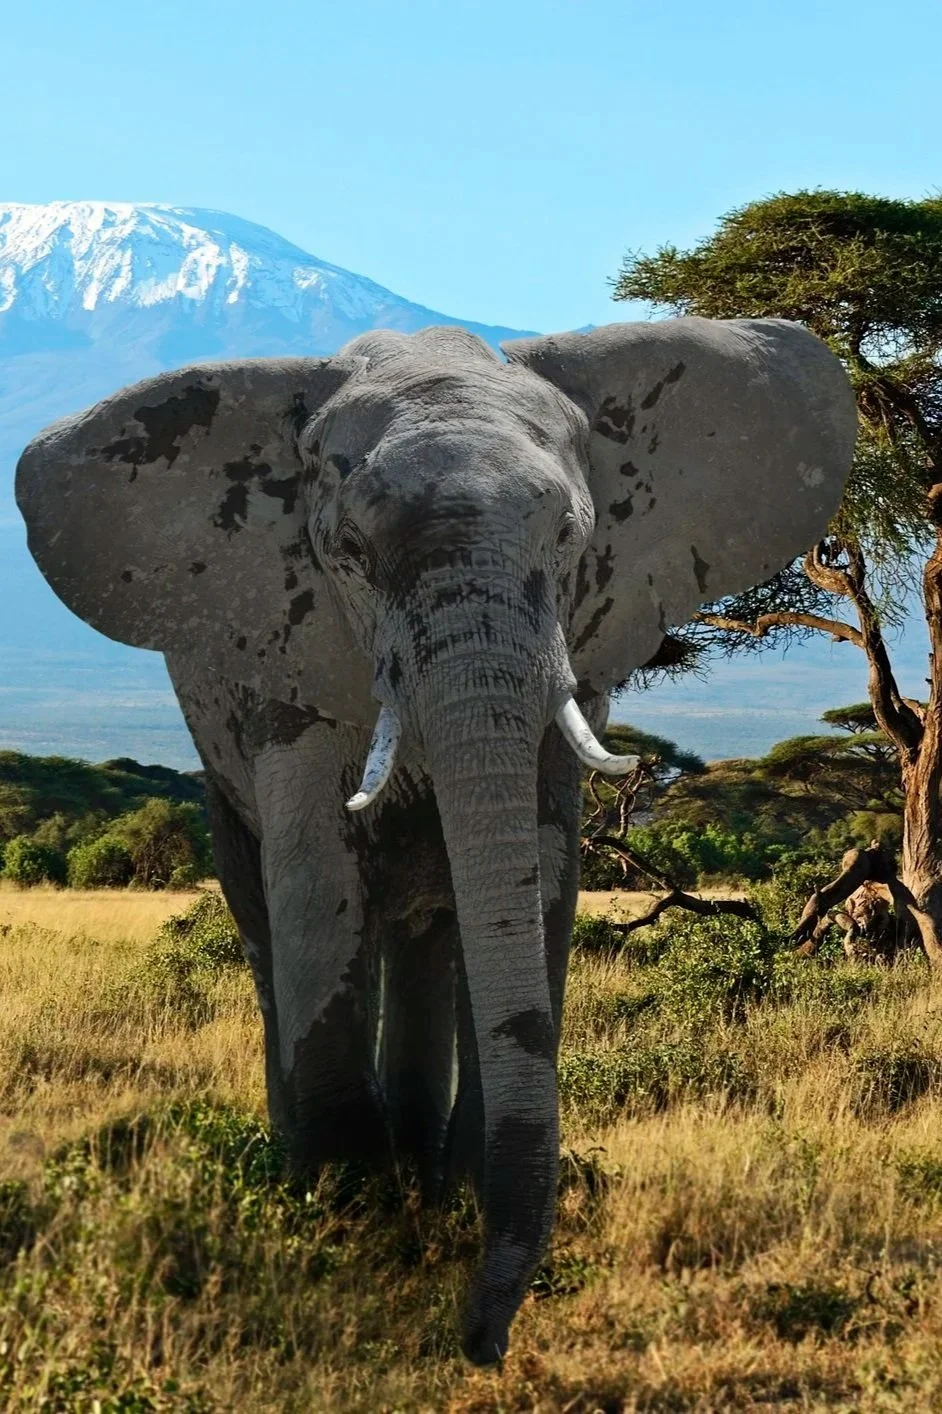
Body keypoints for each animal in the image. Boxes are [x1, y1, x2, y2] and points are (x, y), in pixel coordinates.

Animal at [15, 317, 856, 1363]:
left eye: (572, 537)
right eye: (347, 551)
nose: (476, 1340)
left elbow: (542, 869)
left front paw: (441, 1192)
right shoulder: (289, 649)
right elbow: (315, 870)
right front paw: (342, 1206)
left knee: (423, 929)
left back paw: (421, 1160)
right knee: (266, 917)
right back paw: (314, 1156)